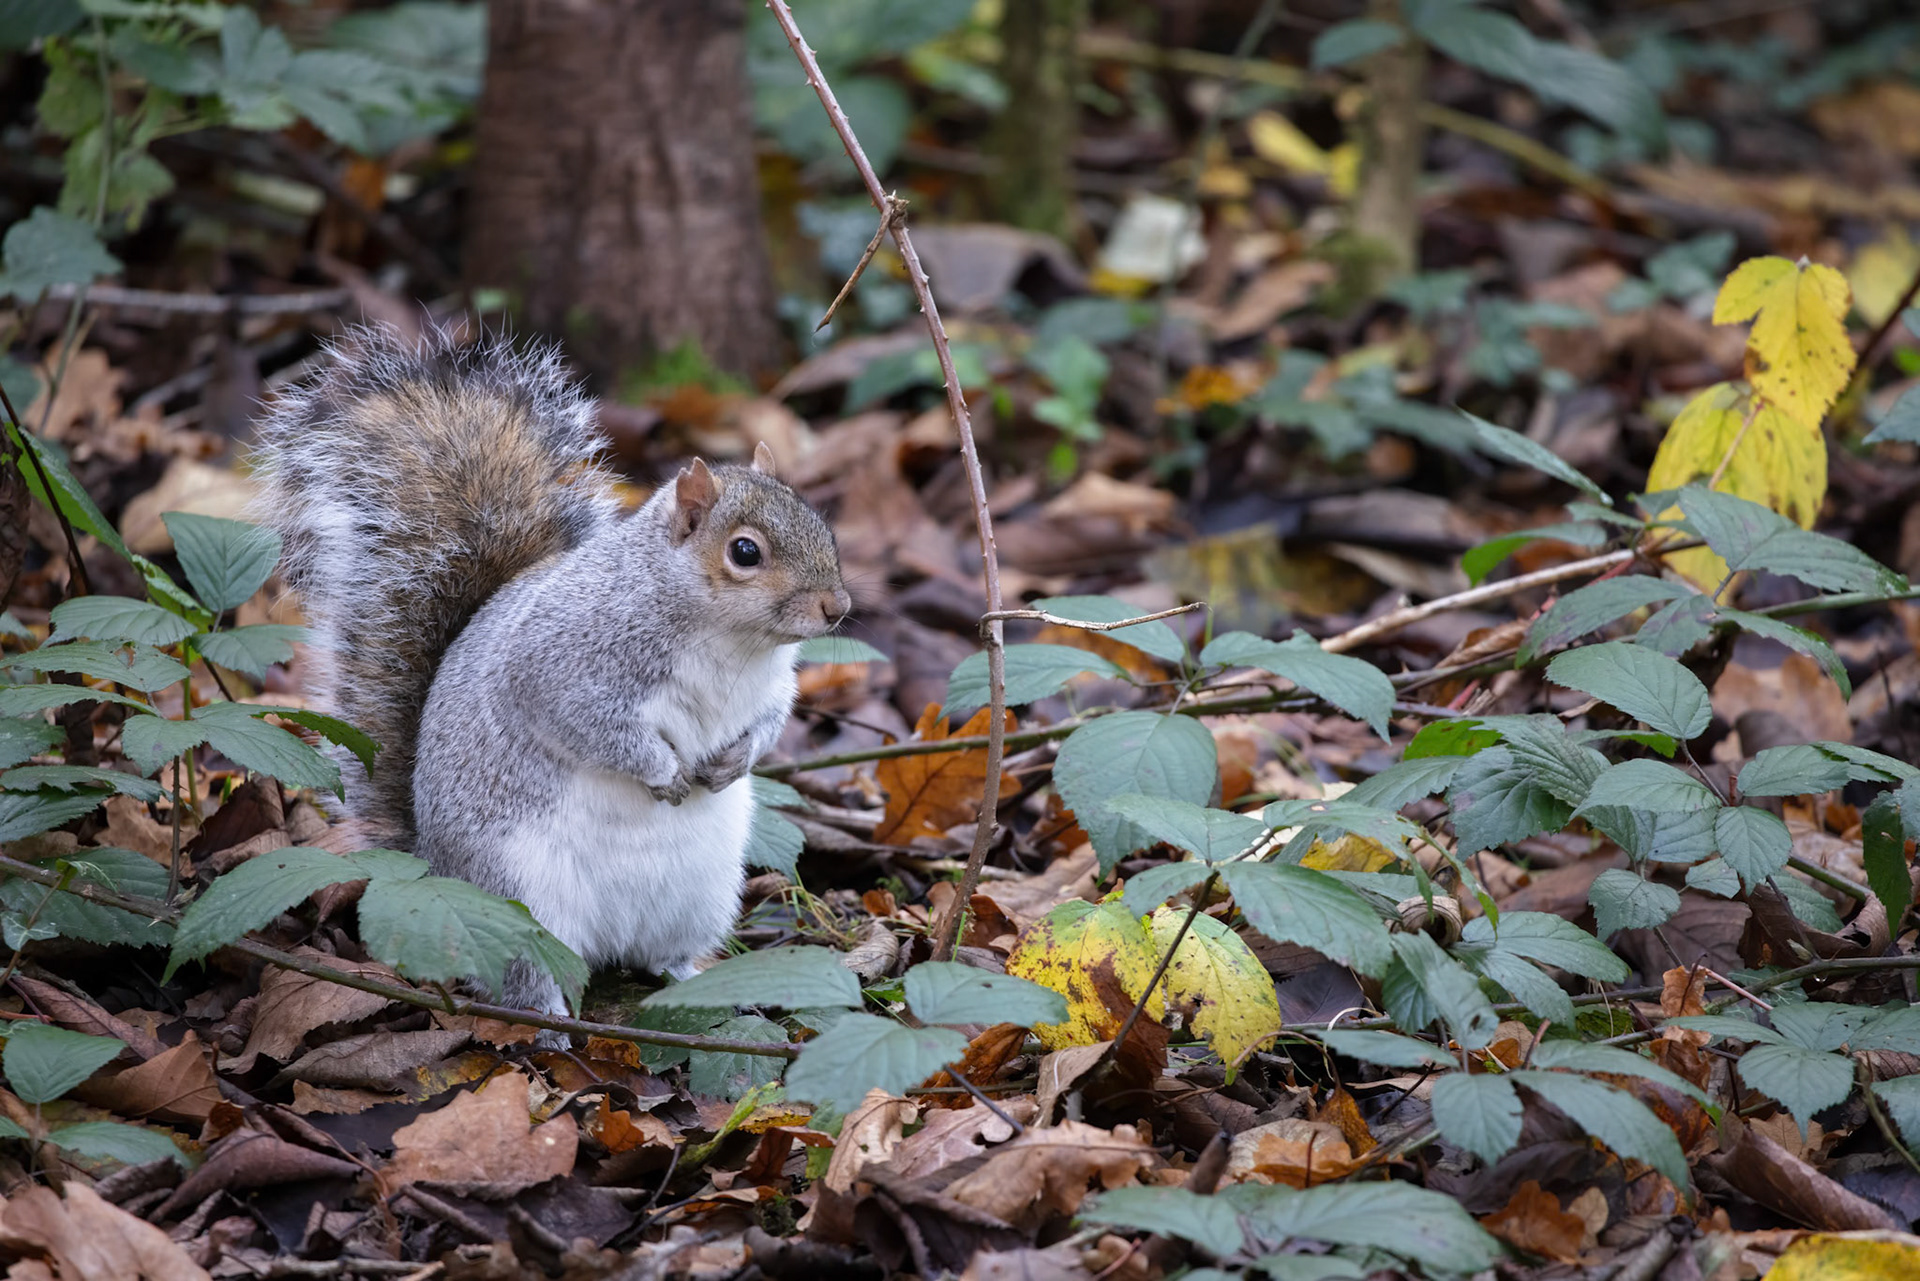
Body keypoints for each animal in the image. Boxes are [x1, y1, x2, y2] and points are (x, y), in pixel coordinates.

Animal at [251, 326, 850, 1016]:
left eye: (822, 524)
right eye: (745, 552)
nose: (838, 607)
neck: (734, 643)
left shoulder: (770, 687)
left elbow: (769, 723)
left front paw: (732, 764)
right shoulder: (563, 662)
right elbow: (587, 724)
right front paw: (664, 771)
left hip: (701, 896)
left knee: (662, 955)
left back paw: (704, 988)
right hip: (519, 904)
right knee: (527, 979)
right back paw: (553, 1022)